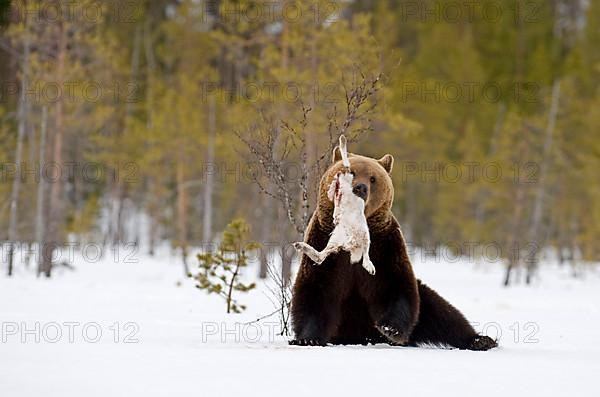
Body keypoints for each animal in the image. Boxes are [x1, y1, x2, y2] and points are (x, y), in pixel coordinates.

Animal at [290, 147, 496, 348]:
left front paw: (390, 328)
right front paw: (307, 339)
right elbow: (316, 290)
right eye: (351, 172)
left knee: (444, 313)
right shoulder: (324, 243)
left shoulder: (385, 246)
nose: (360, 187)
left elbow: (395, 285)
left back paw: (480, 340)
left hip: (425, 301)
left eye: (373, 178)